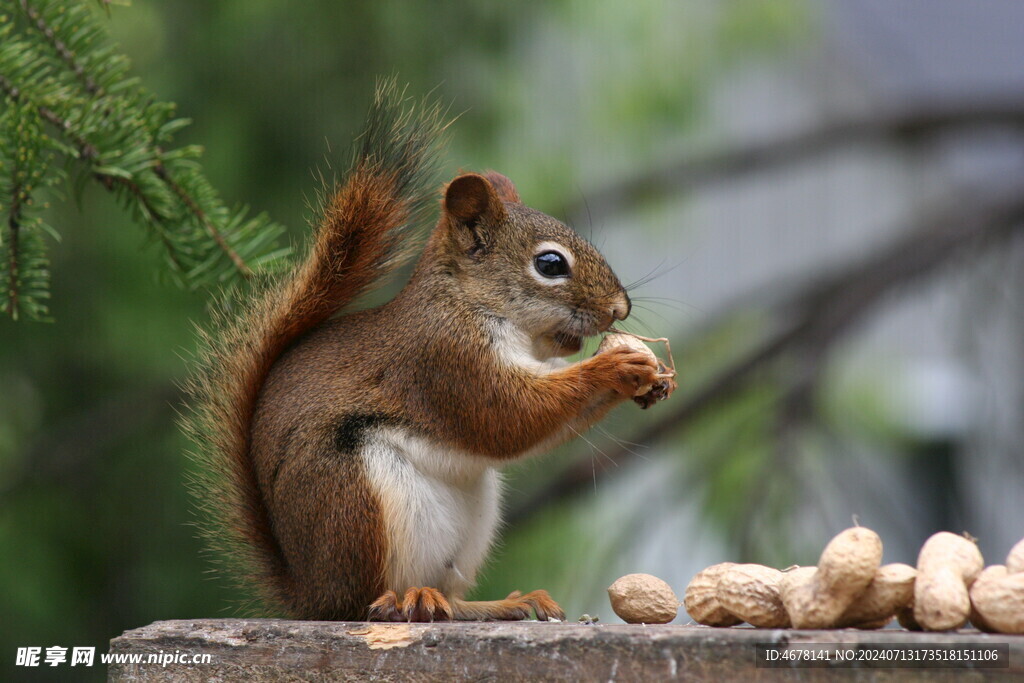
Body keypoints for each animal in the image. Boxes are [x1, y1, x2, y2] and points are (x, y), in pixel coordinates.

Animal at [185, 82, 675, 622]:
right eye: (550, 264)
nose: (620, 308)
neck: (472, 303)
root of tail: (311, 595)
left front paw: (649, 381)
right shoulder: (445, 358)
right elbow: (509, 416)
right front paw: (615, 365)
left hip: (472, 519)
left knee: (450, 599)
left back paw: (499, 603)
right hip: (354, 499)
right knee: (364, 603)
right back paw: (403, 600)